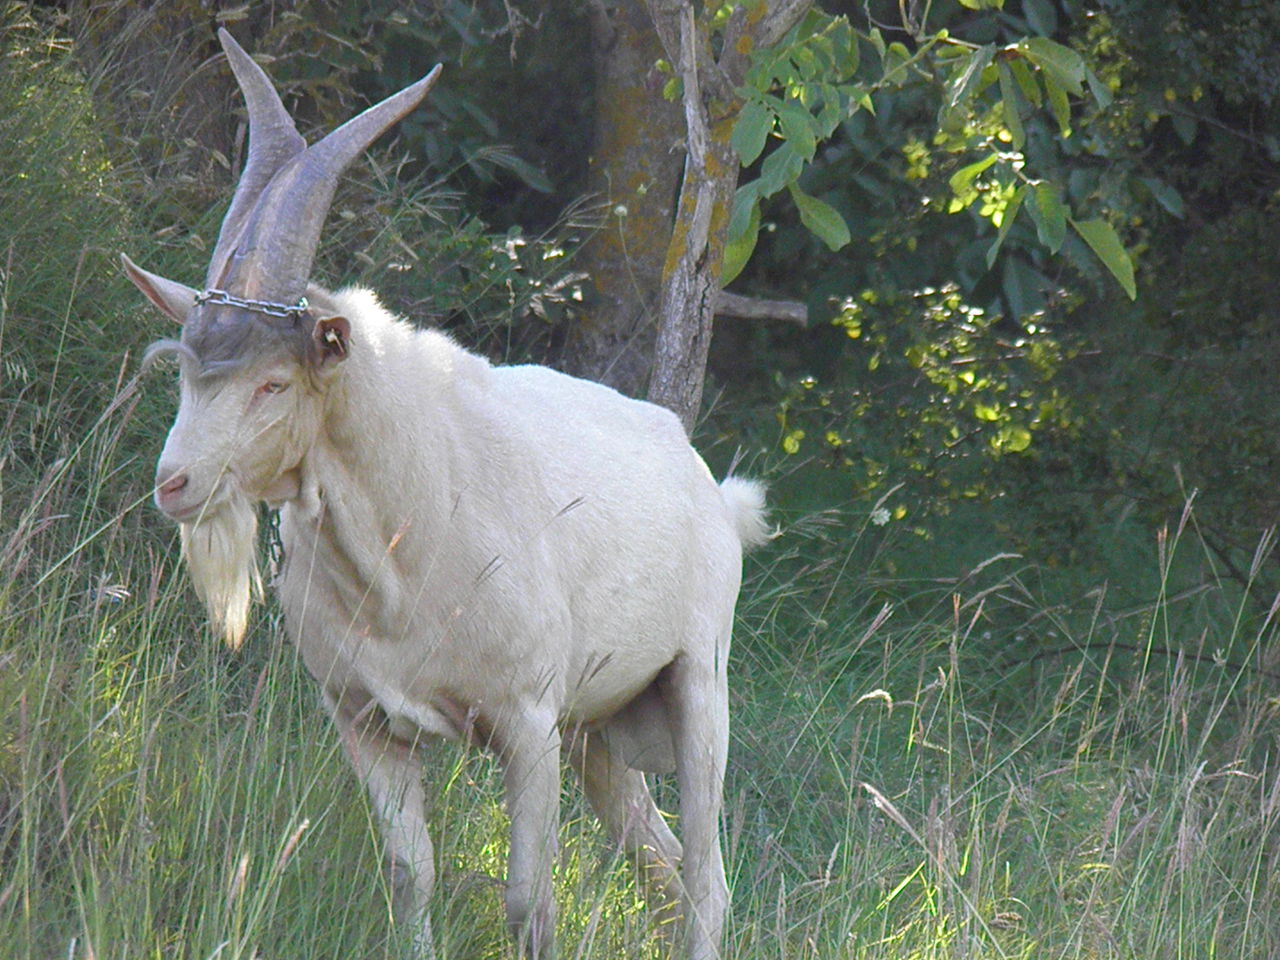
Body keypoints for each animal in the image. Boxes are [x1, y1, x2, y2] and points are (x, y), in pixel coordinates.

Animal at [124, 30, 762, 960]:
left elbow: (530, 900)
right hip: (598, 733)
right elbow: (409, 875)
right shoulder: (362, 718)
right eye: (184, 369)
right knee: (662, 861)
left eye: (273, 382)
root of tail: (712, 489)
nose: (176, 484)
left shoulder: (527, 719)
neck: (409, 537)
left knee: (708, 878)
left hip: (696, 687)